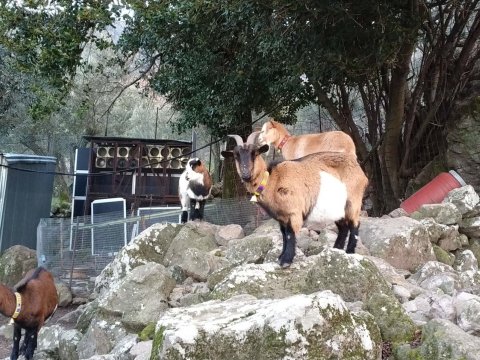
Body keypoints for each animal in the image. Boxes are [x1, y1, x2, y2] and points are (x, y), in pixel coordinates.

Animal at [221, 133, 368, 268]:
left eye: (255, 153)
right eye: (236, 156)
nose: (246, 175)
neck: (272, 180)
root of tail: (359, 170)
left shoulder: (294, 211)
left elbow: (290, 234)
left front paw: (286, 261)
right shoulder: (282, 216)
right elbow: (284, 235)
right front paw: (281, 257)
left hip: (353, 200)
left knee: (355, 224)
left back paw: (349, 251)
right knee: (343, 227)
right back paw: (336, 249)